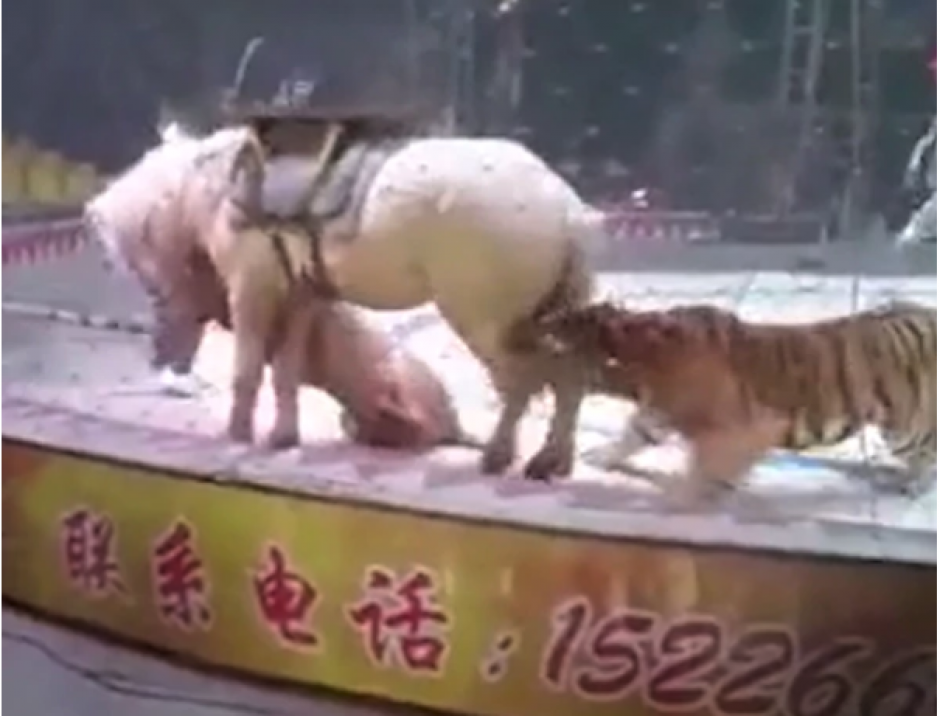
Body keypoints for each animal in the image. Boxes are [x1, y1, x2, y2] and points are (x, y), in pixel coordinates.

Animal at [217, 114, 602, 480]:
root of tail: (569, 210)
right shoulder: (298, 287)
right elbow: (286, 361)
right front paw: (278, 439)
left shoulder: (252, 279)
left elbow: (249, 362)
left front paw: (237, 438)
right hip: (550, 295)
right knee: (568, 366)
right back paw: (550, 465)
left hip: (488, 286)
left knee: (519, 374)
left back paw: (498, 458)